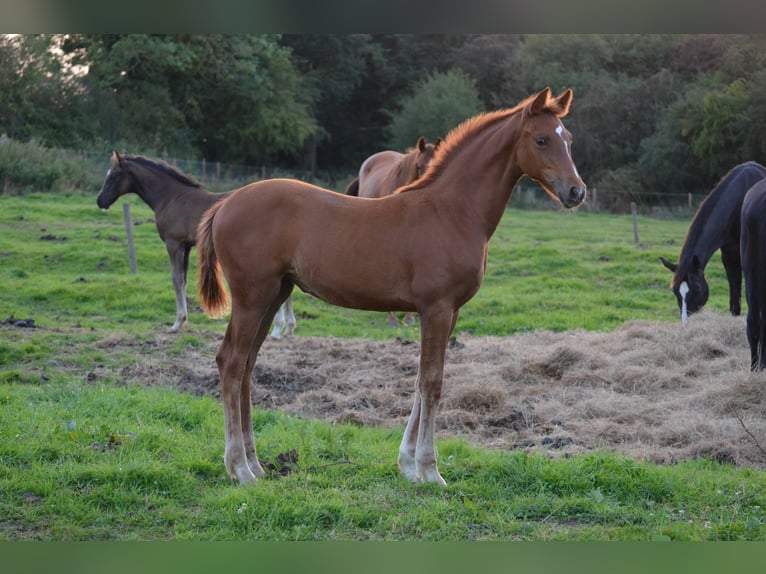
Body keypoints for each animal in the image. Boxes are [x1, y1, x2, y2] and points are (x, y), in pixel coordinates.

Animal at [95, 153, 296, 340]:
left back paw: (278, 328)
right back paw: (287, 327)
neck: (171, 198)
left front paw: (178, 322)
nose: (100, 201)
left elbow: (176, 279)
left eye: (113, 176)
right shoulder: (186, 246)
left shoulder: (174, 243)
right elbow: (183, 280)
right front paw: (183, 321)